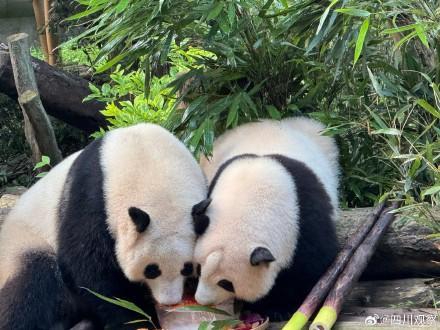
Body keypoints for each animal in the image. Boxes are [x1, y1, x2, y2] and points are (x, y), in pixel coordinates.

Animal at [0, 124, 207, 330]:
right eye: (151, 269)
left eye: (187, 268)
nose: (169, 301)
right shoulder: (91, 198)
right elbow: (92, 269)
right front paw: (137, 319)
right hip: (24, 244)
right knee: (32, 289)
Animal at [192, 118, 340, 320]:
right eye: (199, 269)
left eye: (226, 283)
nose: (202, 300)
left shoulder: (306, 216)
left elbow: (311, 267)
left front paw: (279, 307)